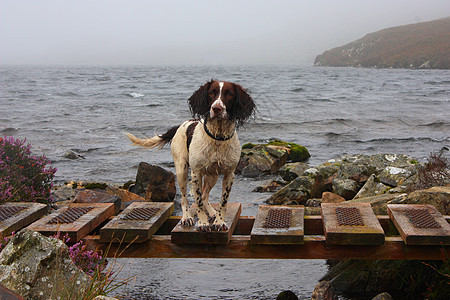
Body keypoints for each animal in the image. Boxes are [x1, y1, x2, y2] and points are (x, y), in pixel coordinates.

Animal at [126, 80, 255, 232]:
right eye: (211, 93)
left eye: (229, 94)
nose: (216, 108)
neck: (217, 138)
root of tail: (181, 124)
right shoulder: (196, 172)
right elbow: (197, 201)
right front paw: (203, 223)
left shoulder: (229, 174)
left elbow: (223, 201)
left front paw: (219, 221)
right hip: (181, 170)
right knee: (184, 198)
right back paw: (186, 217)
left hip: (212, 175)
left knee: (205, 196)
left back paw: (212, 212)